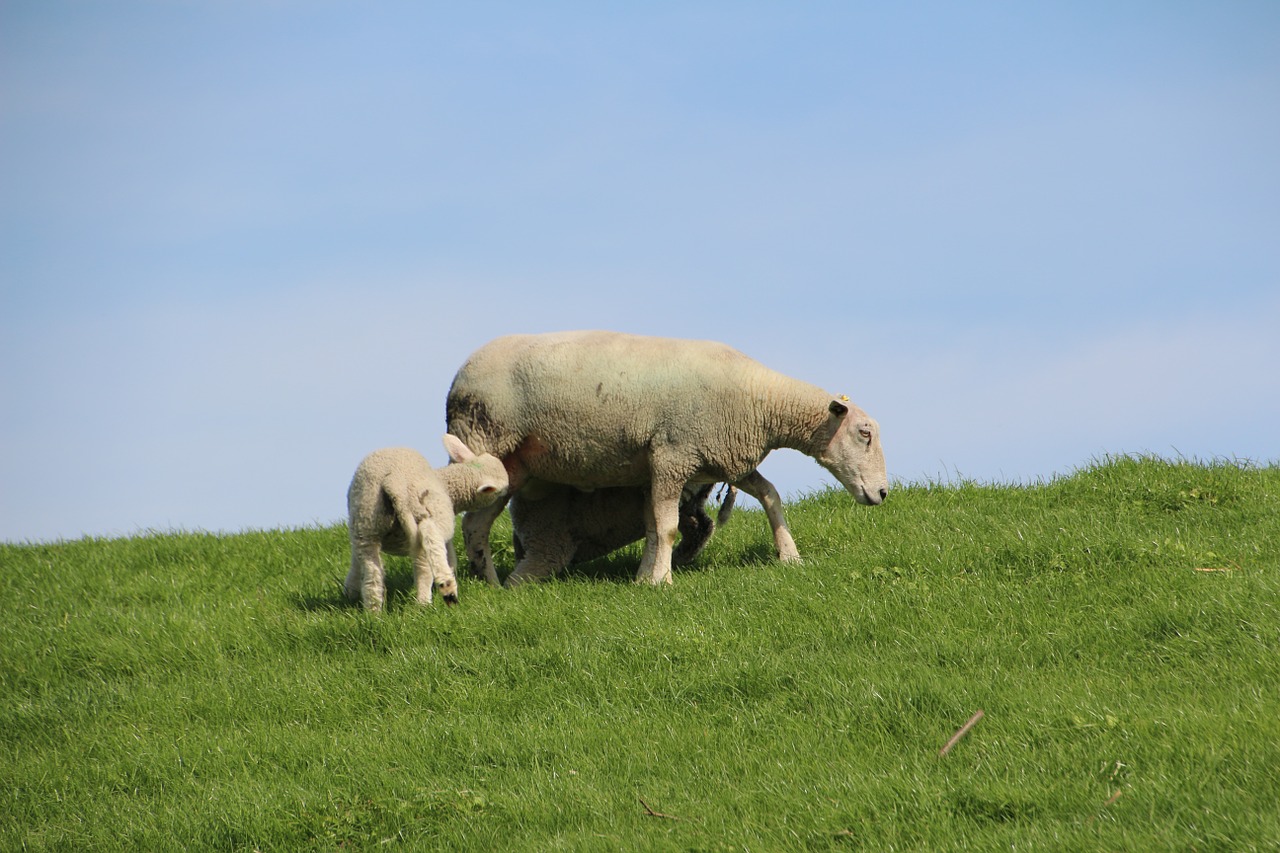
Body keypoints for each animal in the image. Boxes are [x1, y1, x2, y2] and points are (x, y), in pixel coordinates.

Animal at [350, 435, 514, 607]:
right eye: (502, 489)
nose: (511, 489)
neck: (446, 486)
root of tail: (393, 481)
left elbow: (355, 563)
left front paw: (350, 590)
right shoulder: (442, 527)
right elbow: (450, 559)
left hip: (366, 523)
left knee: (371, 574)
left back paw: (373, 610)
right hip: (419, 514)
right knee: (424, 565)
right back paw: (434, 598)